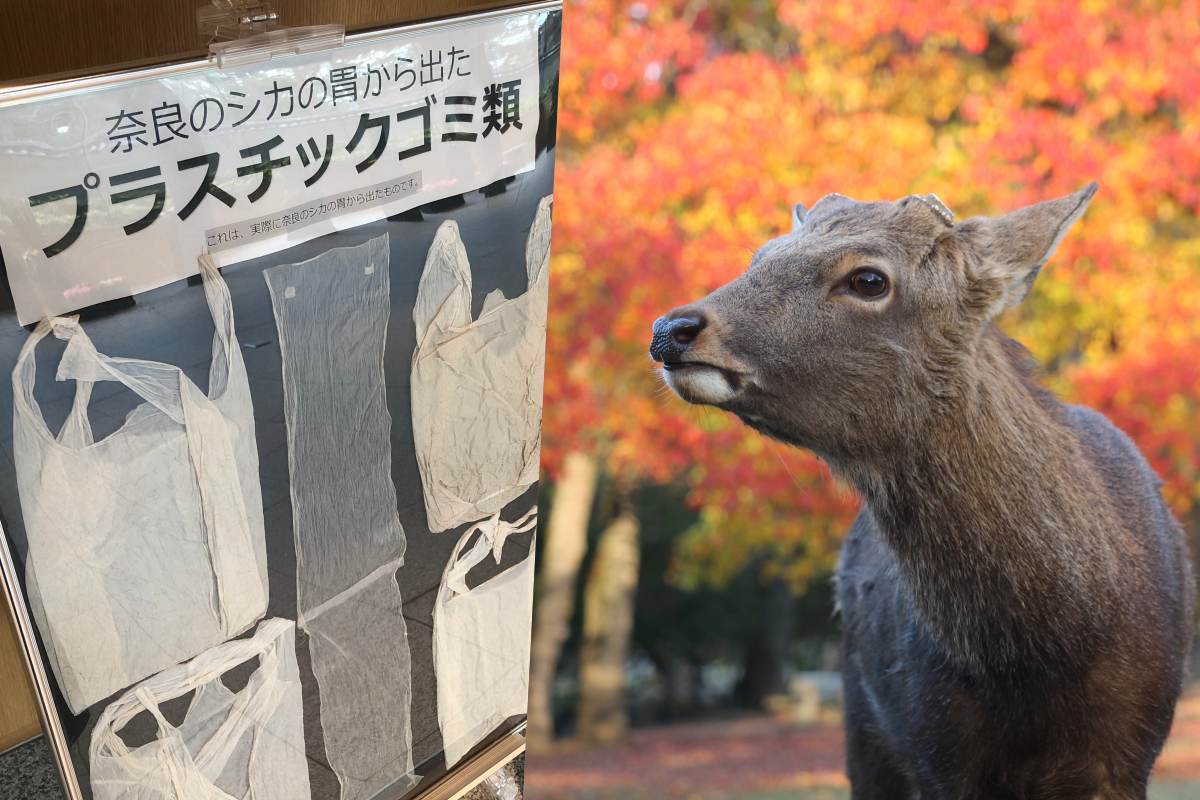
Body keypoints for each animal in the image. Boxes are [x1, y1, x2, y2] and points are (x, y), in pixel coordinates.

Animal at [652, 188, 1195, 800]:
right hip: (862, 722)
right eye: (761, 255)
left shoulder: (1129, 752)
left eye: (869, 279)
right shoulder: (933, 742)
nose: (671, 328)